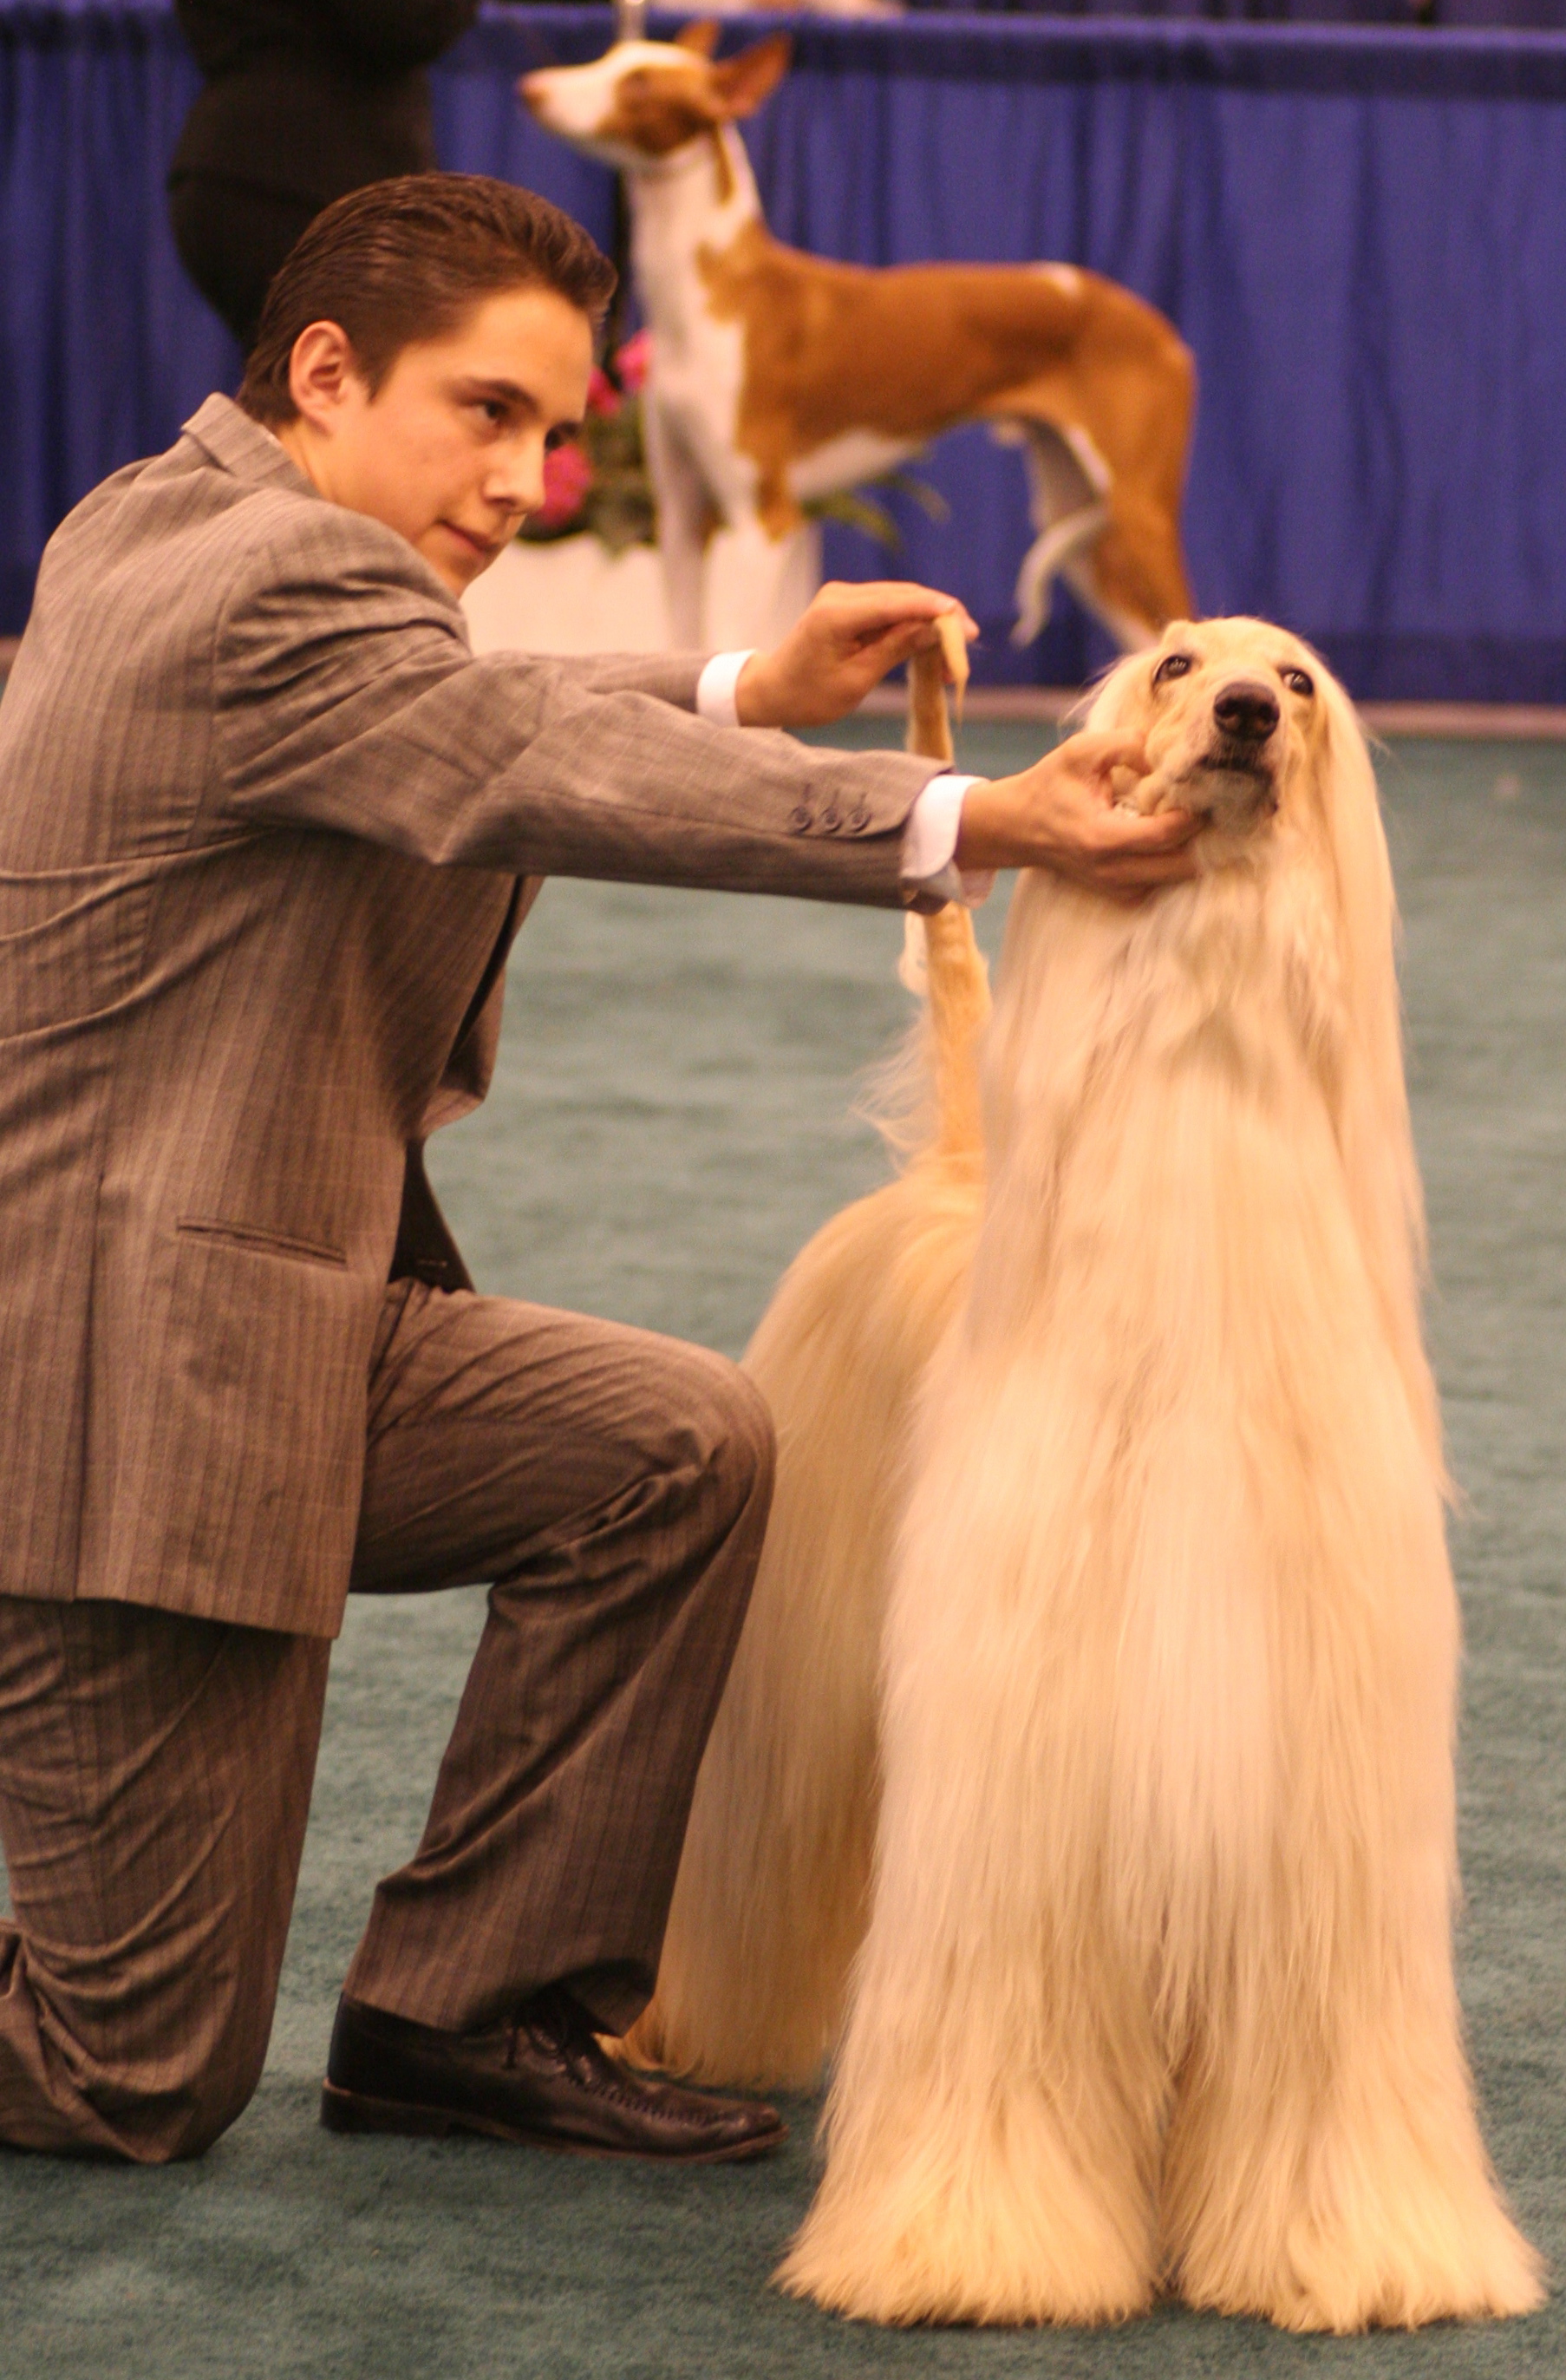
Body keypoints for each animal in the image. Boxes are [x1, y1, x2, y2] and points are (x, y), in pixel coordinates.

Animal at [519, 29, 1190, 661]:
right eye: (611, 56)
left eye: (639, 85)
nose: (532, 86)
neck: (712, 287)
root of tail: (1160, 328)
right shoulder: (681, 518)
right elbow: (682, 645)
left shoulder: (764, 522)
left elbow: (736, 642)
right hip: (1079, 529)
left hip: (1140, 516)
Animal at [623, 618, 1532, 2342]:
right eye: (1173, 661)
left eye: (1297, 682)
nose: (1241, 713)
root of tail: (953, 1169)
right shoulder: (1019, 1809)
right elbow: (1000, 2051)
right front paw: (973, 2250)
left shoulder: (1315, 1827)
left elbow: (1318, 2076)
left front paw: (1352, 2252)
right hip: (787, 1697)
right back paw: (677, 2042)